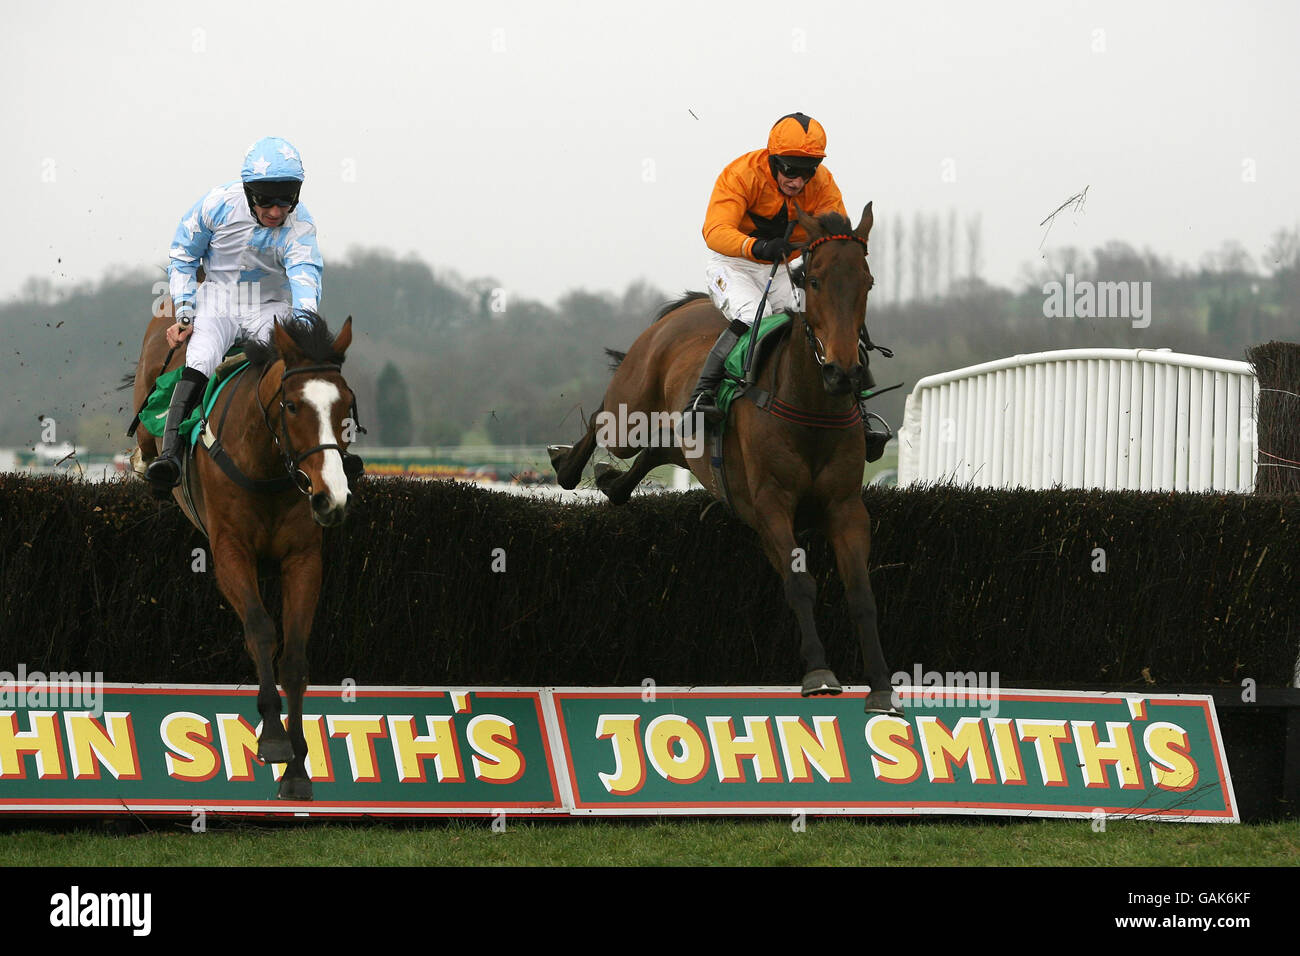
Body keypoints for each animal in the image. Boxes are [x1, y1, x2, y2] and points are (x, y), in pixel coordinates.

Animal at [131, 310, 358, 796]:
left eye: (346, 405)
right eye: (292, 406)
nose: (331, 497)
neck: (268, 465)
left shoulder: (303, 558)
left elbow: (295, 654)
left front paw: (297, 768)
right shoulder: (231, 552)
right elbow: (260, 629)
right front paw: (272, 738)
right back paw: (151, 465)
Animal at [543, 204, 899, 712]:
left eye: (867, 281)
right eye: (813, 280)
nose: (842, 372)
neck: (809, 406)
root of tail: (685, 308)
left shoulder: (846, 507)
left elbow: (861, 592)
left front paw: (882, 686)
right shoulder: (770, 504)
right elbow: (800, 583)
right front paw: (819, 673)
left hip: (685, 438)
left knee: (655, 451)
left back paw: (611, 481)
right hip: (630, 408)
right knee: (601, 419)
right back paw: (566, 465)